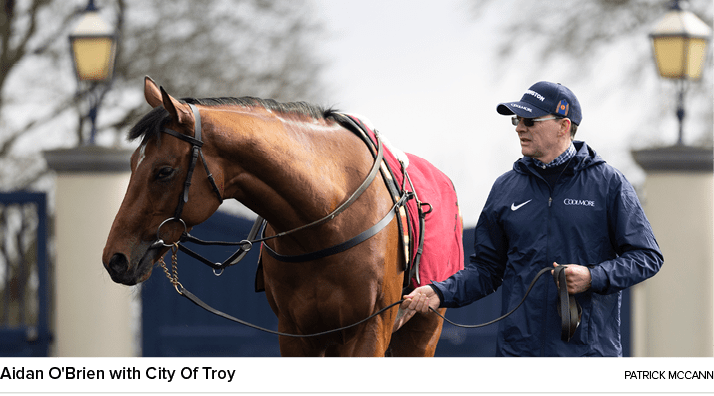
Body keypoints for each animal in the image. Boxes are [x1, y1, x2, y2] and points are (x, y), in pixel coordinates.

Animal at [101, 76, 444, 358]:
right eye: (131, 164)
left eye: (164, 171)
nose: (115, 259)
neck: (326, 224)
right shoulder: (296, 335)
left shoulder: (370, 330)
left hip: (423, 330)